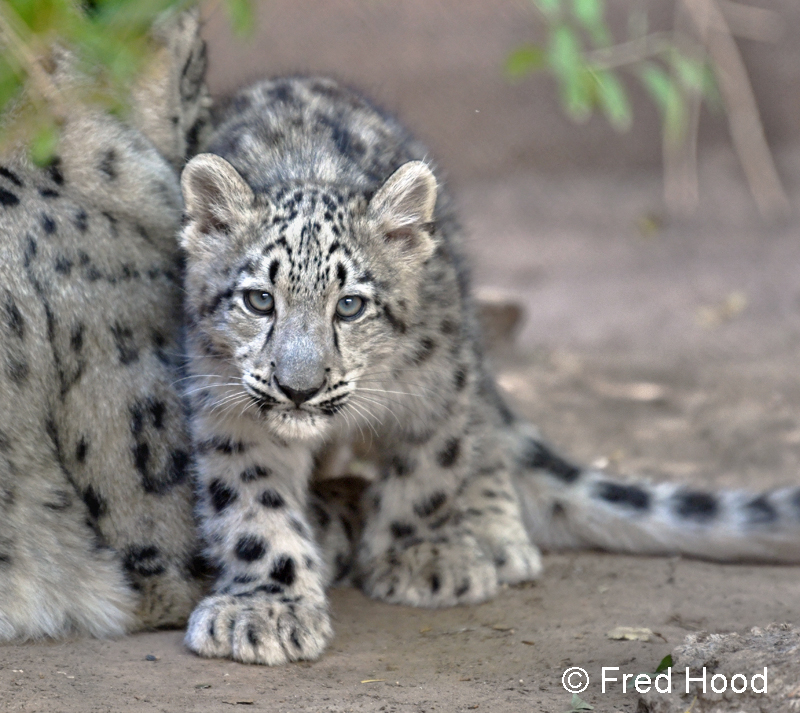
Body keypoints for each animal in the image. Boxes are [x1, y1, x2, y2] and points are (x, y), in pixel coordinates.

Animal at [179, 75, 800, 666]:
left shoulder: (437, 382)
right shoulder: (228, 407)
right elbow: (254, 504)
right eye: (259, 300)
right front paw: (265, 608)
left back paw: (494, 532)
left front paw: (420, 557)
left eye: (350, 305)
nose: (299, 388)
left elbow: (430, 470)